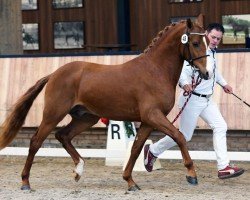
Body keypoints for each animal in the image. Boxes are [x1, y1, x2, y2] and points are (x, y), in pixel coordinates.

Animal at [0, 14, 209, 191]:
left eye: (207, 42)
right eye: (196, 43)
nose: (206, 74)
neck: (155, 70)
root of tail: (54, 74)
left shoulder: (148, 121)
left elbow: (136, 148)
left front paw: (130, 181)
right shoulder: (153, 115)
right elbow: (179, 136)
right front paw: (192, 174)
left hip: (86, 117)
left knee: (63, 135)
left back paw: (78, 170)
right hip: (53, 114)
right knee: (36, 141)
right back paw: (25, 182)